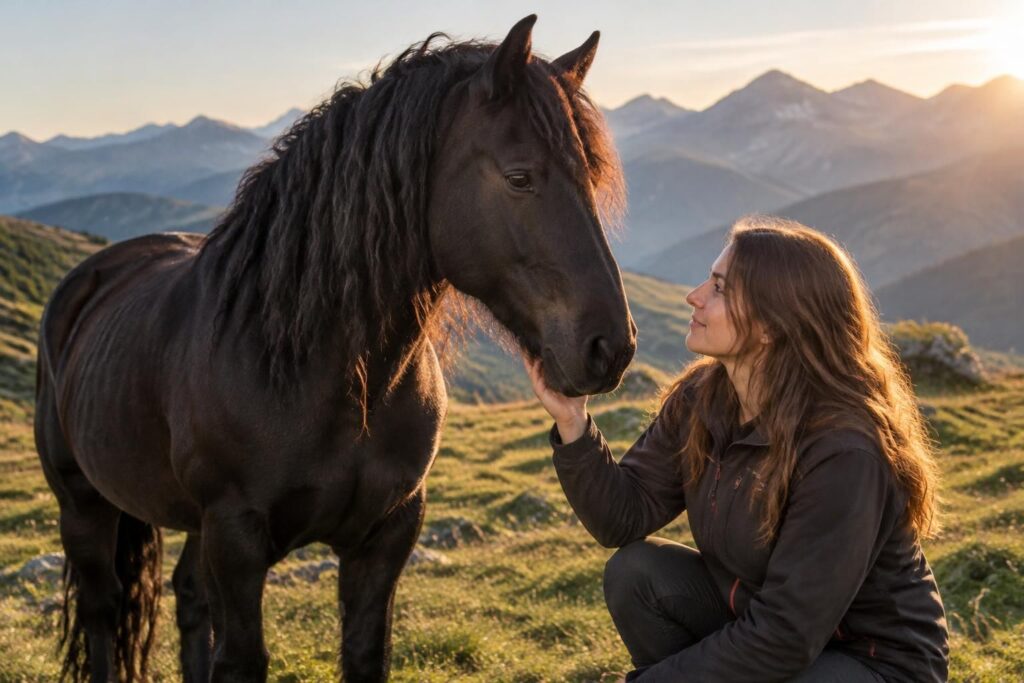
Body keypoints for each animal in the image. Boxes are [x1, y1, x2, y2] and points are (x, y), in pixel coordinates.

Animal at [34, 15, 635, 682]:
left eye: (591, 178)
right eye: (520, 177)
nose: (611, 347)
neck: (320, 371)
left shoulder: (386, 534)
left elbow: (363, 652)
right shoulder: (236, 539)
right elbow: (240, 658)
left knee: (188, 599)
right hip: (83, 503)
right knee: (103, 610)